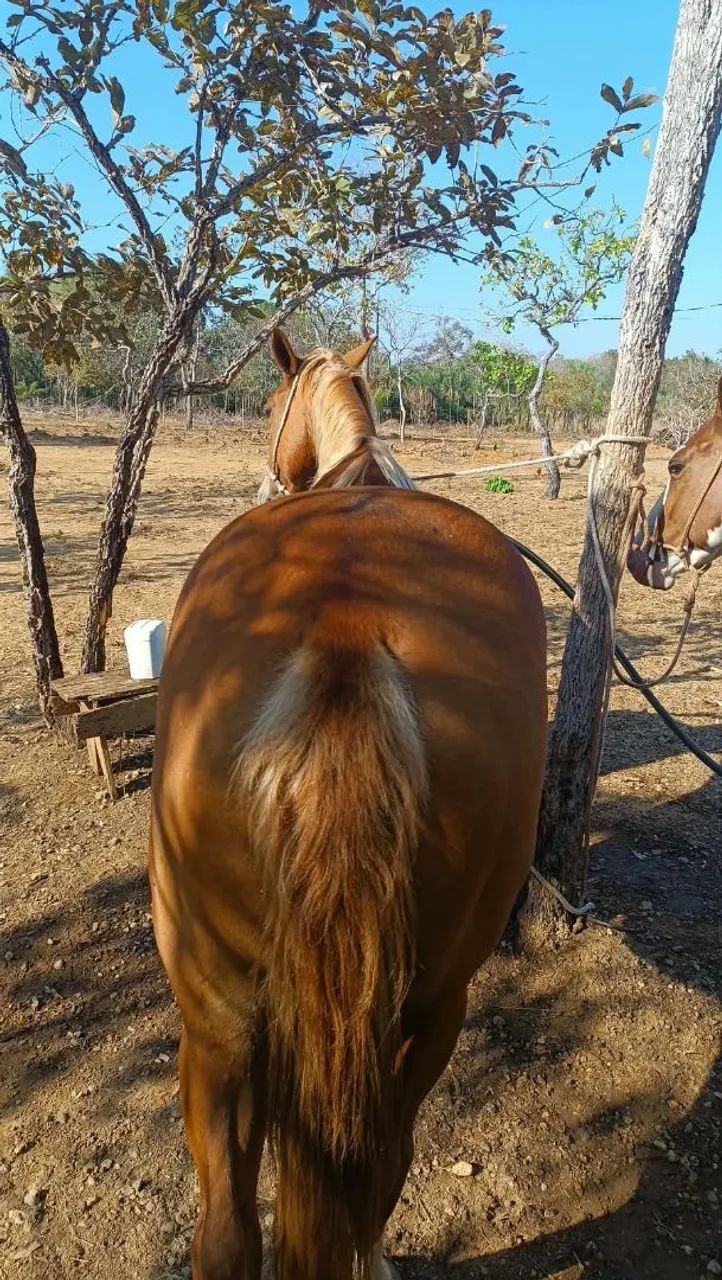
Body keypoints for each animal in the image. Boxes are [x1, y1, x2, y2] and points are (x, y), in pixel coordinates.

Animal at [149, 328, 548, 1280]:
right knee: (352, 1179)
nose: (267, 474)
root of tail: (346, 629)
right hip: (408, 1006)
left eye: (268, 402)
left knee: (278, 1207)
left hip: (224, 1012)